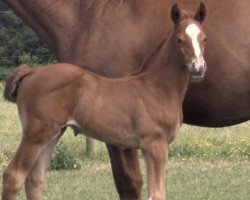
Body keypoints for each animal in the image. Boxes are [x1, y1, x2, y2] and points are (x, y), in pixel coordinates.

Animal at [1, 0, 250, 199]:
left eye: (204, 38)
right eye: (179, 40)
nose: (199, 68)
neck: (156, 86)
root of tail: (32, 72)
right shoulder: (153, 146)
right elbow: (150, 192)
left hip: (52, 133)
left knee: (34, 180)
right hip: (38, 133)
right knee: (14, 176)